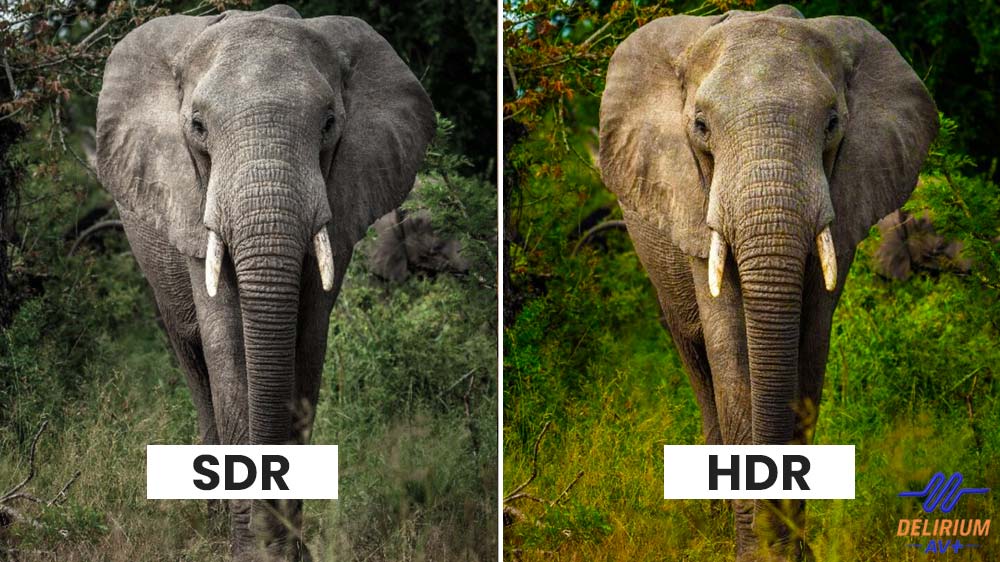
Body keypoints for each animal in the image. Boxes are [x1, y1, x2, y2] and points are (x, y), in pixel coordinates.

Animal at [95, 5, 434, 560]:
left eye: (329, 124)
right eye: (197, 127)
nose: (270, 537)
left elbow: (306, 344)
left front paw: (289, 550)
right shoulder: (192, 203)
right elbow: (228, 347)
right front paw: (249, 549)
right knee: (192, 359)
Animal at [598, 5, 937, 561]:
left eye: (832, 124)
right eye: (700, 127)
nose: (776, 541)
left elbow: (810, 347)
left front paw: (793, 551)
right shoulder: (694, 201)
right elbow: (730, 352)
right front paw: (752, 551)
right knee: (695, 359)